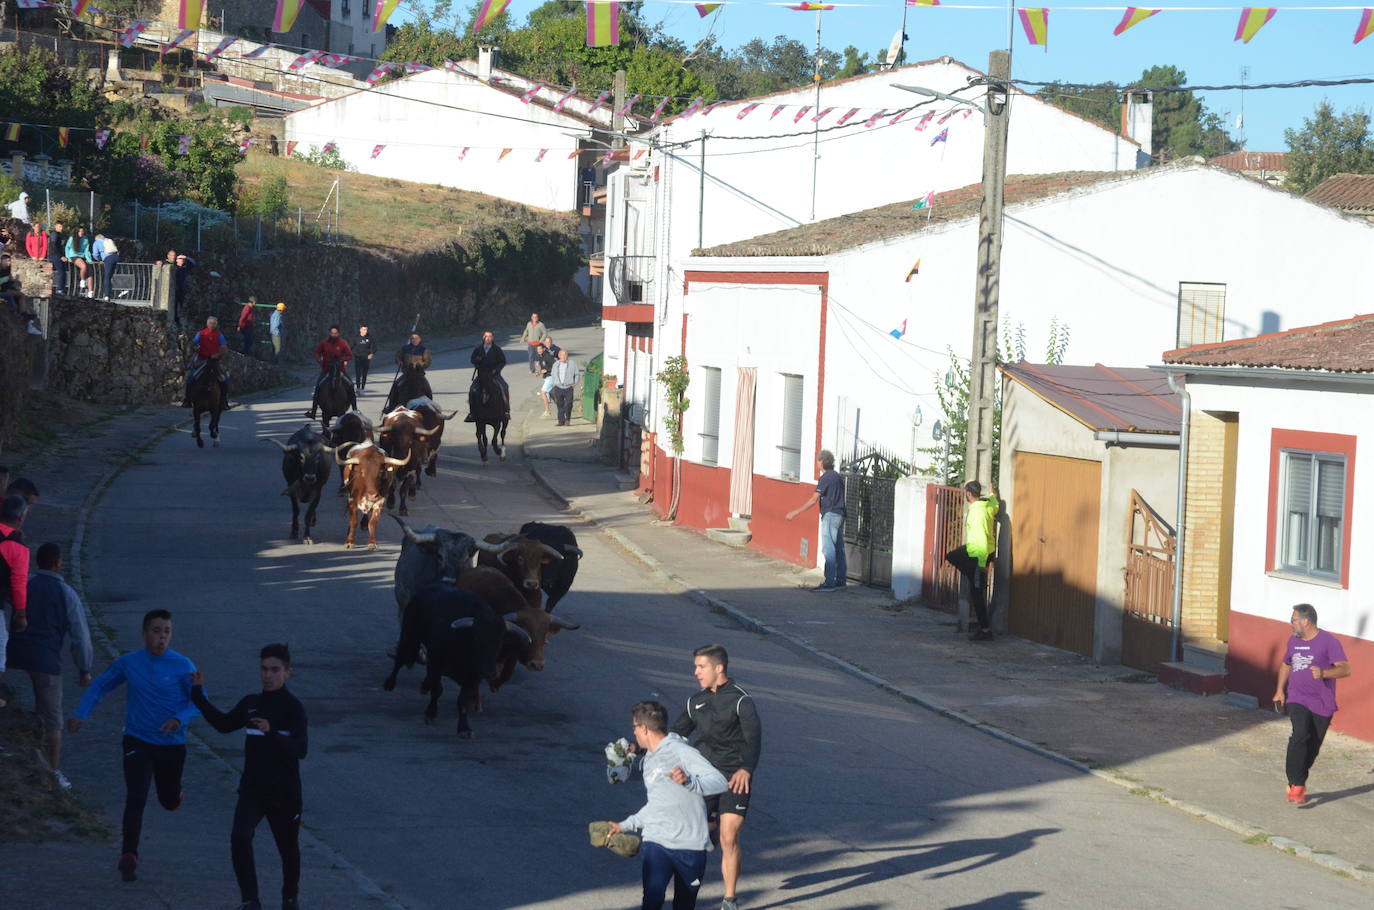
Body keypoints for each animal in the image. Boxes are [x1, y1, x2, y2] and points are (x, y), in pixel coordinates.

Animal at [381, 585, 524, 742]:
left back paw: (424, 685)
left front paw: (464, 728)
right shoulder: (435, 664)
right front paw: (431, 714)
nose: (490, 672)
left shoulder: (472, 677)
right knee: (401, 658)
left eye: (499, 642)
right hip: (410, 637)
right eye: (478, 640)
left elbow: (462, 701)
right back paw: (389, 683)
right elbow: (437, 691)